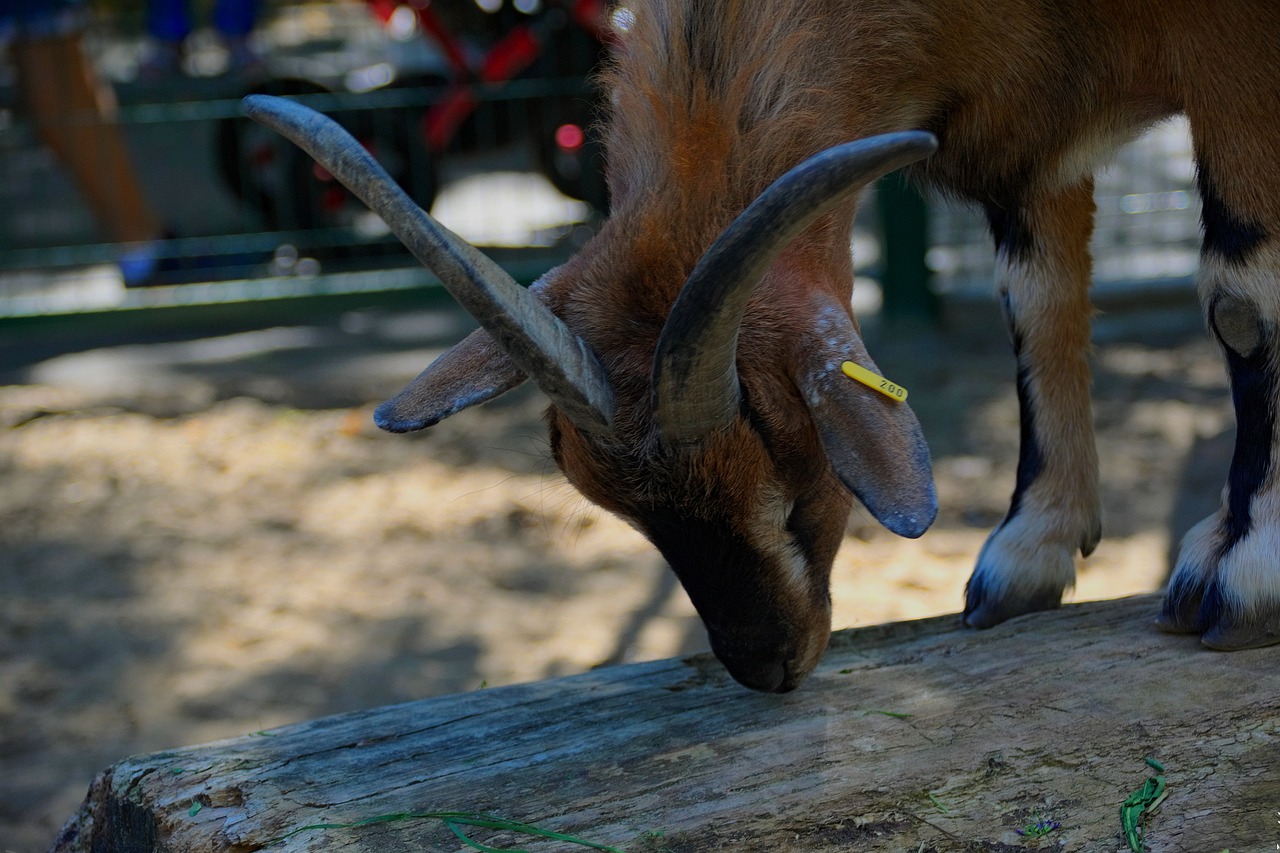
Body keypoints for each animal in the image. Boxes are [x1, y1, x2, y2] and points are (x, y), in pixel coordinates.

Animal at [247, 0, 1280, 691]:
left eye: (792, 476)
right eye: (609, 500)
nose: (765, 662)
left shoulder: (1235, 53)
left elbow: (1244, 295)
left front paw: (1250, 574)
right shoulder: (1032, 128)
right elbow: (1037, 300)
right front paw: (1031, 549)